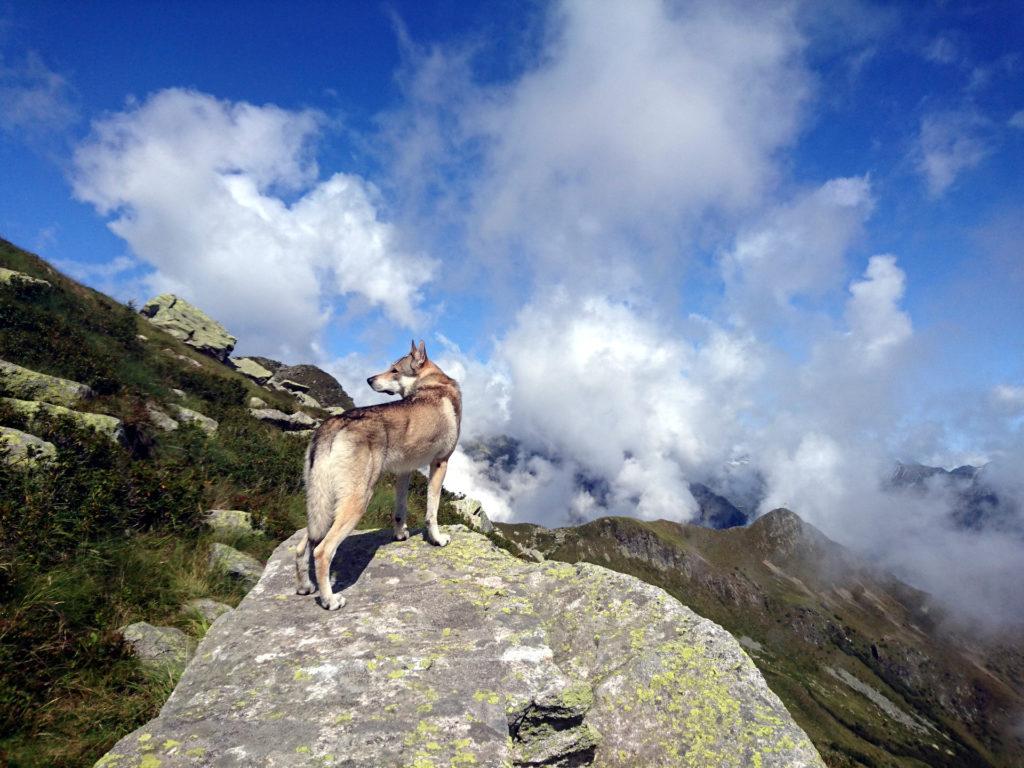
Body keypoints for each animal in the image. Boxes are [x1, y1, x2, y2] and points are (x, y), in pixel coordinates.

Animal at [292, 339, 460, 610]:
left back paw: (305, 587)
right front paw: (437, 539)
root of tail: (333, 424)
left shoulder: (405, 470)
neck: (433, 383)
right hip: (358, 502)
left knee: (301, 547)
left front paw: (400, 535)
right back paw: (330, 600)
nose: (369, 379)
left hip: (321, 506)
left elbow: (399, 511)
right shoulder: (440, 464)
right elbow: (432, 513)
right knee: (322, 551)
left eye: (394, 370)